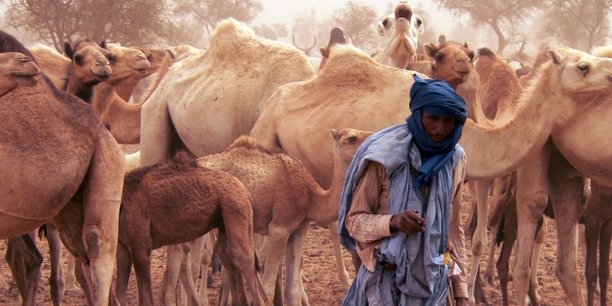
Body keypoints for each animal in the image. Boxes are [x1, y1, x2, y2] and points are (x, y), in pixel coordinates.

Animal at [0, 29, 125, 306]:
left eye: (109, 54)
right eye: (77, 57)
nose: (23, 64)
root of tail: (103, 129)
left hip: (108, 162)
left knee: (97, 246)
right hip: (64, 206)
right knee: (79, 254)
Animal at [115, 154, 268, 306]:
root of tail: (246, 192)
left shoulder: (140, 247)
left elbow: (145, 299)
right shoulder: (123, 248)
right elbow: (119, 295)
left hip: (237, 209)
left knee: (243, 260)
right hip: (227, 221)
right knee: (227, 257)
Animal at [163, 129, 370, 306]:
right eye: (351, 138)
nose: (371, 139)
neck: (313, 196)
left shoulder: (298, 230)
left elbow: (292, 291)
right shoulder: (279, 228)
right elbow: (269, 286)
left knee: (183, 260)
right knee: (182, 257)